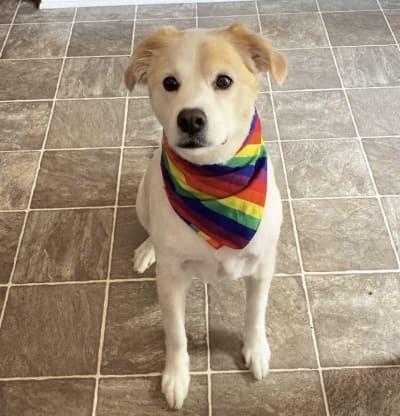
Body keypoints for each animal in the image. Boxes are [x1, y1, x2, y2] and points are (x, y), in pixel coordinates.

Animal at [125, 23, 288, 410]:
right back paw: (147, 249)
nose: (190, 118)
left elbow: (255, 313)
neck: (214, 180)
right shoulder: (170, 281)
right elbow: (175, 335)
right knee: (149, 228)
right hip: (142, 197)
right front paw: (176, 376)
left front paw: (255, 349)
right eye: (170, 83)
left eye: (224, 81)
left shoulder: (262, 266)